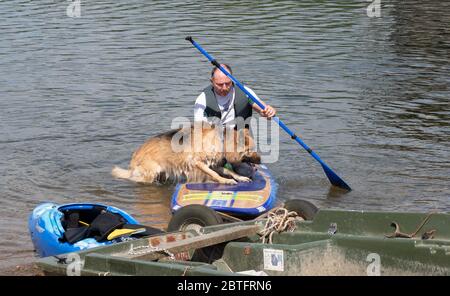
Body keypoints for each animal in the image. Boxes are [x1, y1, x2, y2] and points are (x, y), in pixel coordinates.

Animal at [111, 123, 260, 184]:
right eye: (252, 151)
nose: (260, 161)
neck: (221, 141)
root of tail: (135, 155)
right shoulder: (198, 163)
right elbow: (214, 174)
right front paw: (226, 181)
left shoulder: (213, 164)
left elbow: (229, 171)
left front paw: (240, 177)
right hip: (151, 172)